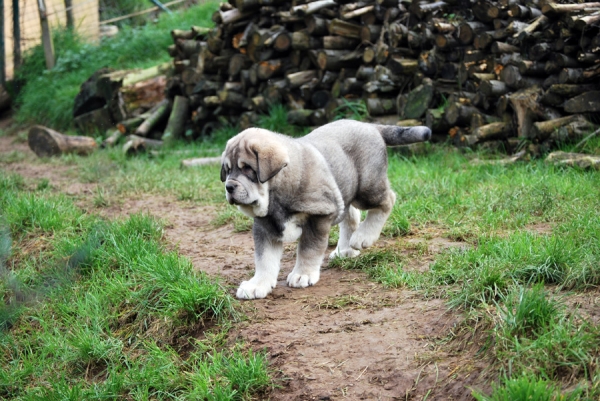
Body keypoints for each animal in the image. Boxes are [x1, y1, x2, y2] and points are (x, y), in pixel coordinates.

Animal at [221, 117, 432, 298]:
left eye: (248, 169)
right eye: (228, 170)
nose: (229, 186)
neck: (275, 197)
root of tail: (370, 126)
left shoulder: (318, 217)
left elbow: (308, 249)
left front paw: (303, 274)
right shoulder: (265, 227)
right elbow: (264, 260)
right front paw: (257, 285)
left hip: (367, 188)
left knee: (387, 200)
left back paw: (363, 237)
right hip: (345, 192)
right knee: (352, 216)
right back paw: (345, 250)